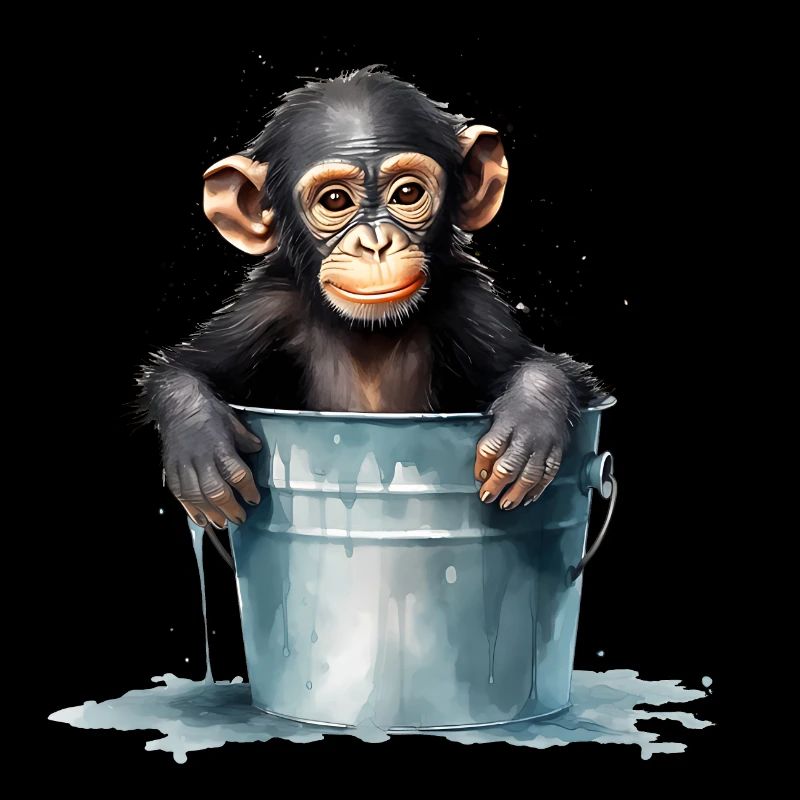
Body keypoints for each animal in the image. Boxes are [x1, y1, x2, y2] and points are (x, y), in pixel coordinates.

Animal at [138, 67, 603, 532]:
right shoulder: (264, 308)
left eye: (407, 195)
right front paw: (199, 445)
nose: (376, 244)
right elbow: (190, 368)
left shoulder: (470, 306)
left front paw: (528, 424)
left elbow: (538, 365)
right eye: (335, 200)